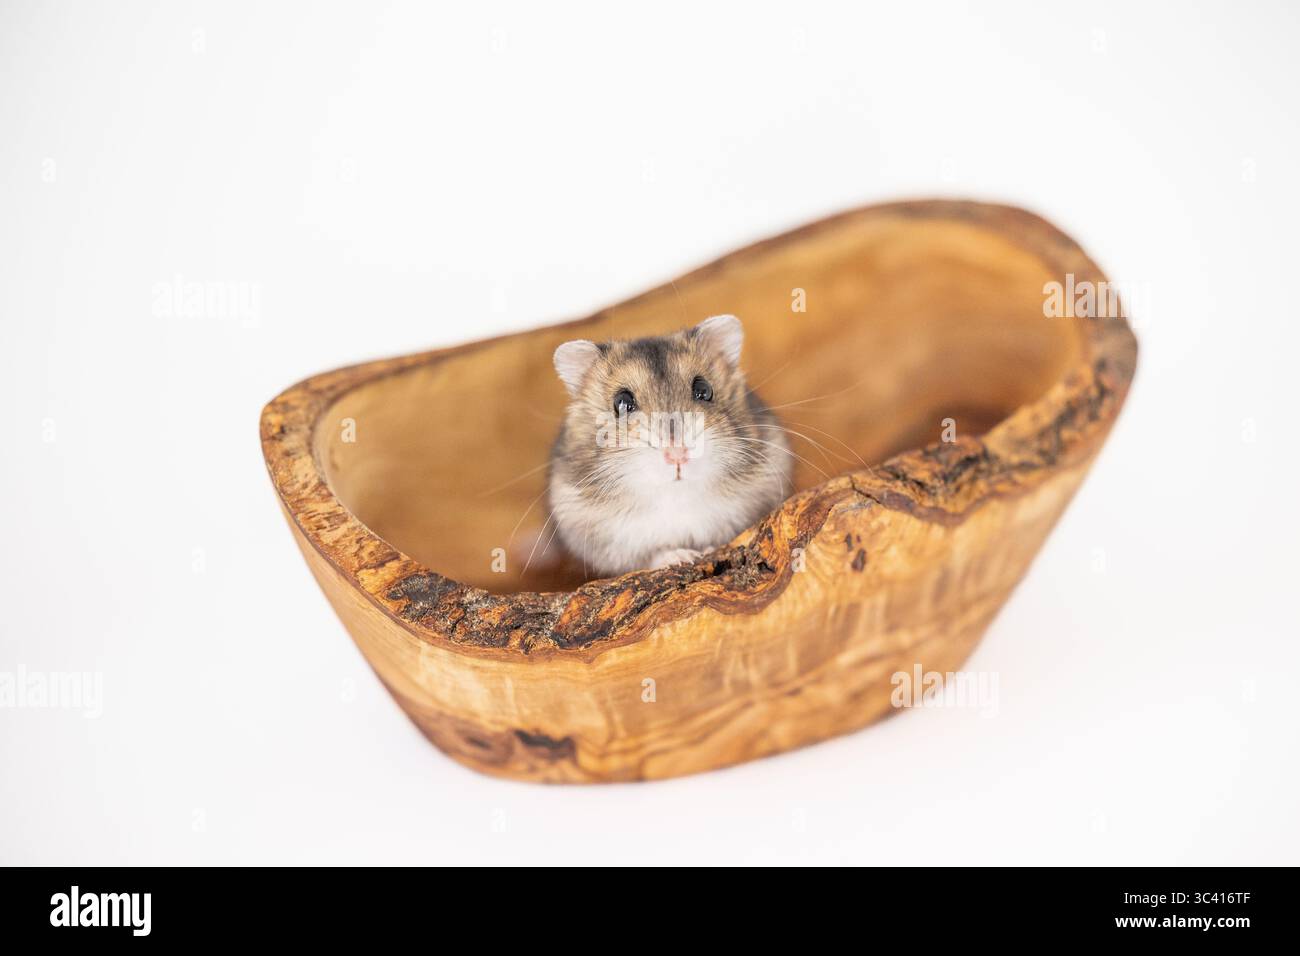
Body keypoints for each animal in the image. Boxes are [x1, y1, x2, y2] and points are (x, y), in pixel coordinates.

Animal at [547, 314, 791, 576]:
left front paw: (707, 550)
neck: (675, 496)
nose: (677, 454)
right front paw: (681, 556)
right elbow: (652, 555)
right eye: (621, 402)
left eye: (704, 389)